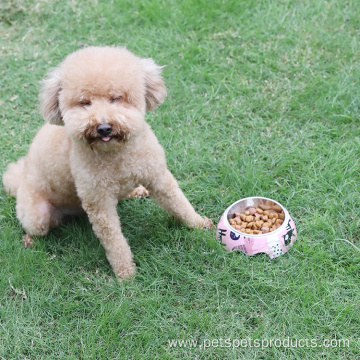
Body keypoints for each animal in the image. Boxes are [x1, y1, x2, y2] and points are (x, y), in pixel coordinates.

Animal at [1, 45, 212, 280]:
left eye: (116, 98)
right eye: (85, 102)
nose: (103, 127)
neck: (116, 153)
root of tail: (19, 180)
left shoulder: (158, 176)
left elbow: (179, 203)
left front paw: (199, 223)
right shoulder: (99, 203)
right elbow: (114, 241)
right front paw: (125, 274)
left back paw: (135, 191)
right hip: (37, 216)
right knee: (35, 227)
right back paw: (29, 240)